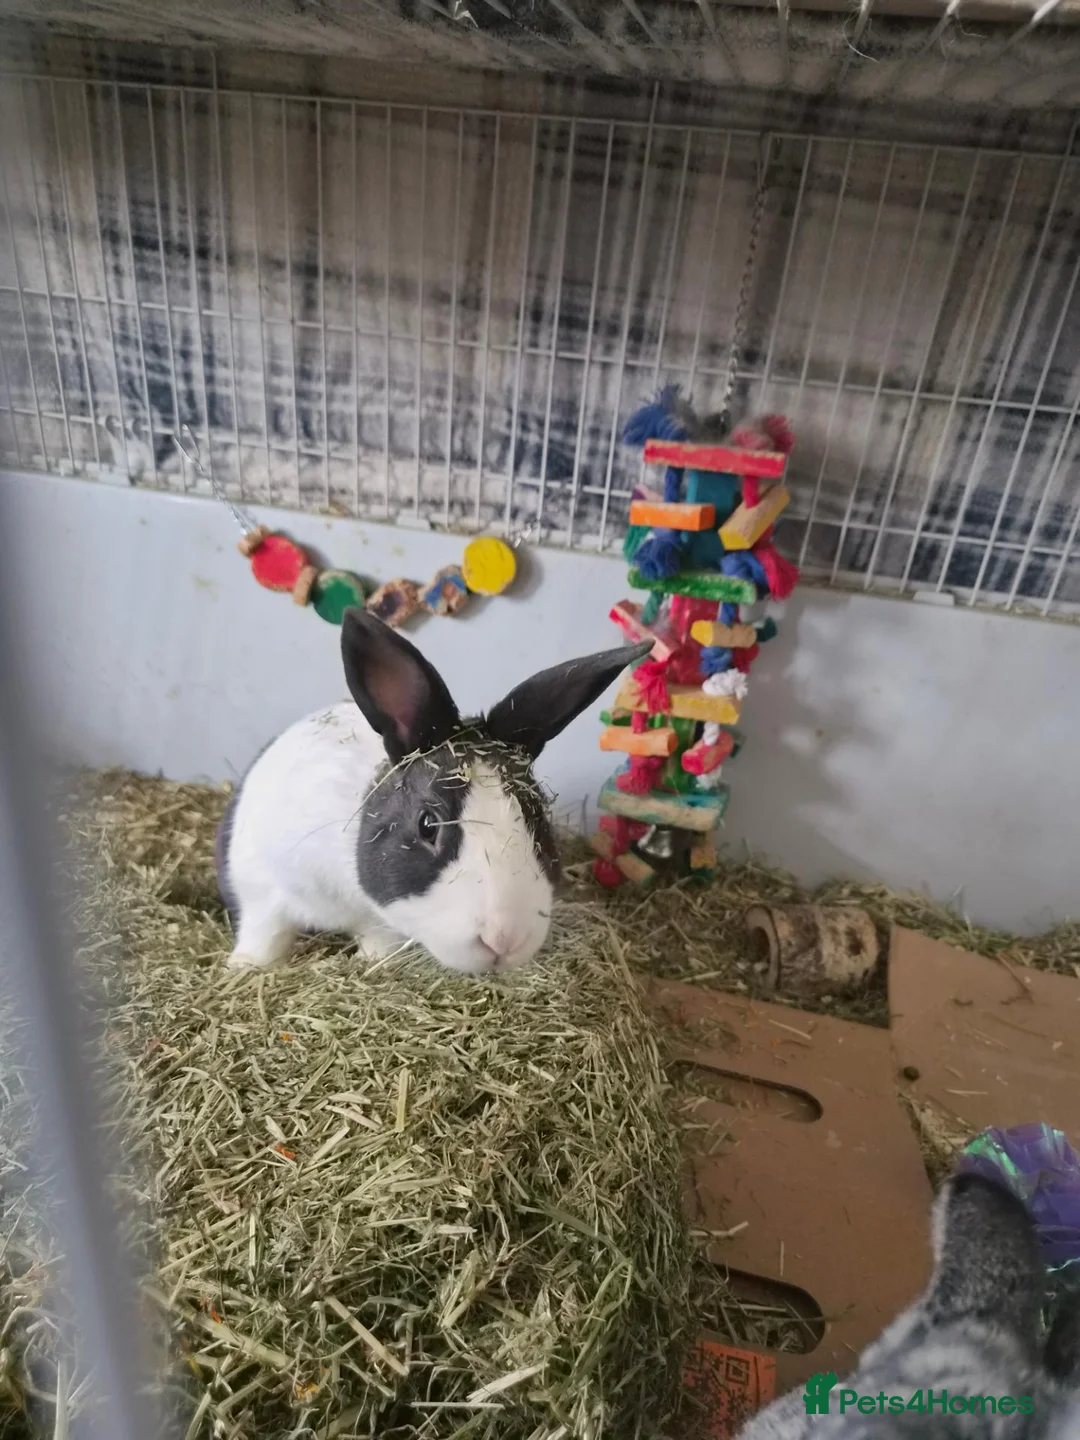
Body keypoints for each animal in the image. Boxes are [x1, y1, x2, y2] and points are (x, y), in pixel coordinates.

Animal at [216, 607, 650, 976]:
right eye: (428, 825)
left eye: (537, 820)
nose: (504, 940)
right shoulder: (260, 889)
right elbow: (265, 933)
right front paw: (245, 967)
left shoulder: (378, 924)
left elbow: (377, 941)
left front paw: (374, 964)